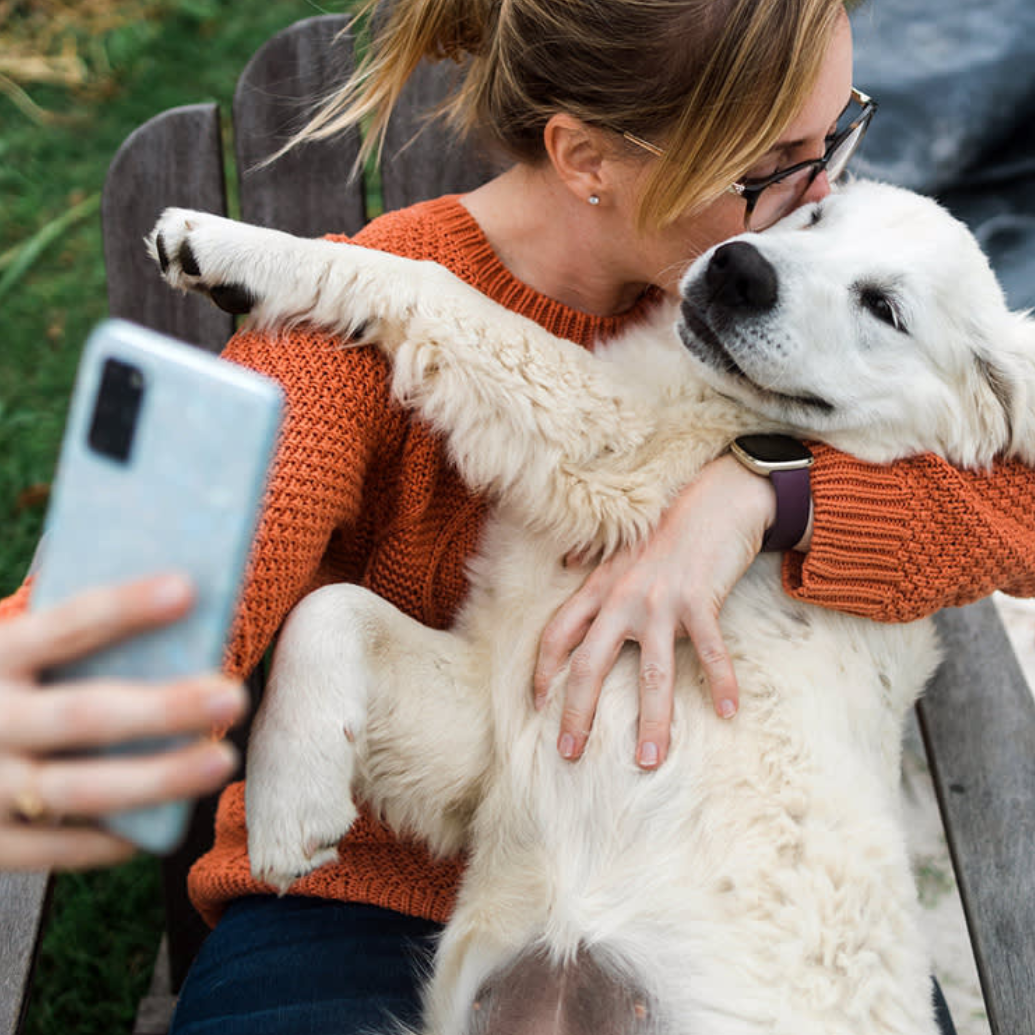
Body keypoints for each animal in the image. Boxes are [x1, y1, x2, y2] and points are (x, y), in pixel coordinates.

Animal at [150, 182, 1035, 1030]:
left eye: (883, 309)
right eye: (814, 217)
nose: (739, 269)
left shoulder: (613, 440)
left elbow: (429, 283)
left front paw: (230, 245)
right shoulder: (497, 712)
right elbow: (331, 606)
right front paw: (291, 798)